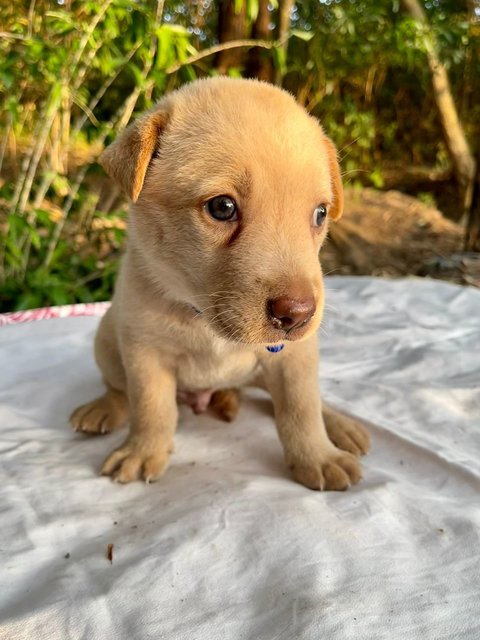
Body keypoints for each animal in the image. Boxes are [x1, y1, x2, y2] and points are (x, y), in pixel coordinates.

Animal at [71, 79, 370, 490]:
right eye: (222, 207)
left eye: (320, 213)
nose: (297, 314)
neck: (202, 318)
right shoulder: (144, 353)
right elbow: (150, 408)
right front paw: (143, 451)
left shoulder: (294, 358)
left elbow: (301, 406)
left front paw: (317, 456)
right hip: (107, 342)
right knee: (118, 388)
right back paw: (103, 409)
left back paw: (340, 426)